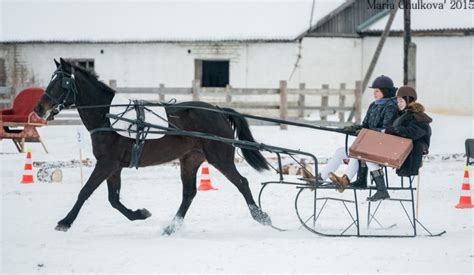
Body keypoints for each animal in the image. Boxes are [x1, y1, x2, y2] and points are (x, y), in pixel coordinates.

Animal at [34, 58, 270, 235]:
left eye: (62, 82)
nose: (38, 109)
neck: (108, 116)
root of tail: (218, 111)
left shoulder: (107, 163)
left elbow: (85, 191)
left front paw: (65, 222)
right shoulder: (113, 166)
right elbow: (113, 199)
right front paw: (139, 213)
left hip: (219, 157)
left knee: (242, 182)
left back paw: (261, 216)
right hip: (190, 159)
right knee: (189, 193)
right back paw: (171, 227)